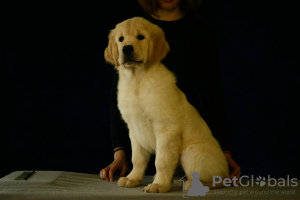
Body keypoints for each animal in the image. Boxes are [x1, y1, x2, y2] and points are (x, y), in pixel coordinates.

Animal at [104, 17, 229, 194]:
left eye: (141, 37)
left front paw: (159, 185)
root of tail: (227, 171)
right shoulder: (135, 130)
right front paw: (132, 178)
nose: (127, 48)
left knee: (214, 181)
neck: (137, 79)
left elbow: (161, 161)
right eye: (121, 39)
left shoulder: (166, 129)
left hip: (189, 152)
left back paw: (190, 185)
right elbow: (137, 159)